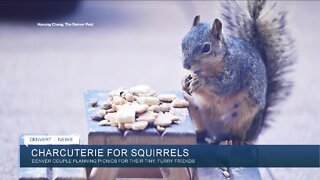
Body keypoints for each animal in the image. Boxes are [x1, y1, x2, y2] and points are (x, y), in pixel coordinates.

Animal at [181, 0, 294, 144]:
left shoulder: (237, 68)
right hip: (193, 107)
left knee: (237, 134)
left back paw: (234, 140)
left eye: (206, 47)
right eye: (183, 43)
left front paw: (201, 81)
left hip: (244, 117)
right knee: (205, 131)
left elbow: (224, 85)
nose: (186, 65)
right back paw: (201, 135)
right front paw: (184, 80)